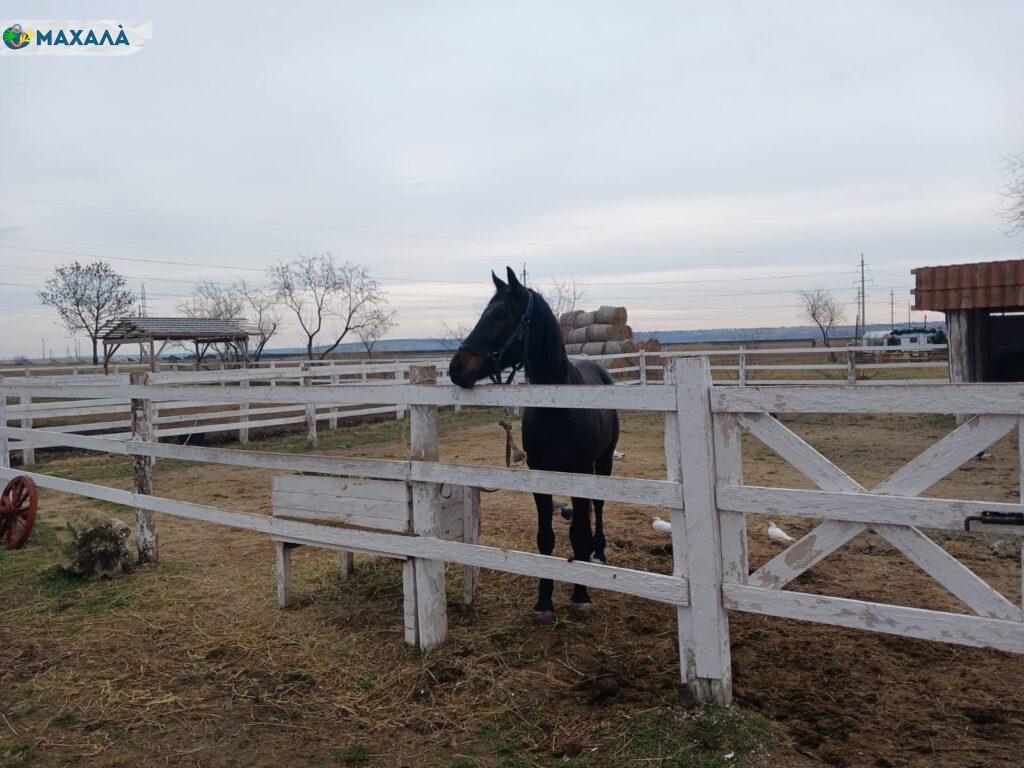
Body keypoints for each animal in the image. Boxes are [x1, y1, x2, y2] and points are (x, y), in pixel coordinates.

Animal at [446, 268, 618, 622]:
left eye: (499, 314)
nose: (456, 368)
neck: (557, 405)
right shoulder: (540, 474)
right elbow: (546, 538)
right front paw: (544, 601)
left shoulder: (581, 472)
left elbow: (578, 533)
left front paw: (581, 596)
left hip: (604, 462)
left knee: (597, 507)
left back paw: (599, 551)